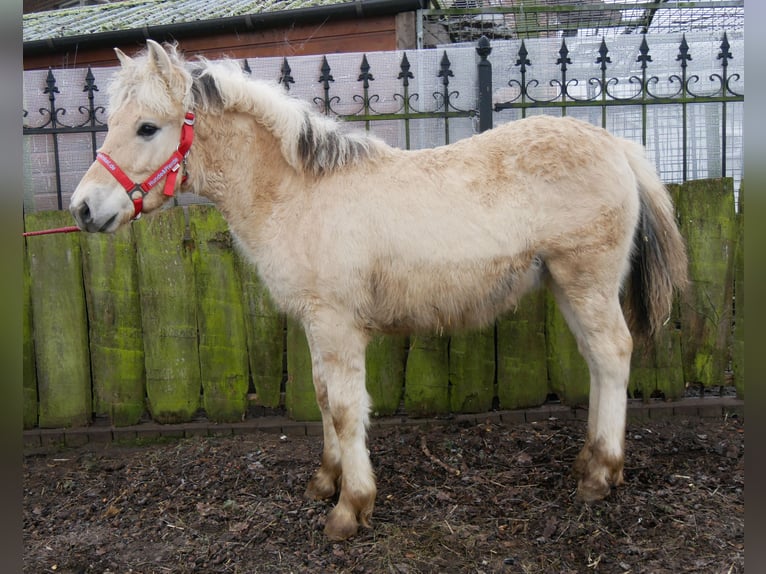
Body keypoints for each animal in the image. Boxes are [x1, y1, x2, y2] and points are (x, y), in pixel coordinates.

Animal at [69, 41, 688, 544]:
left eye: (147, 127)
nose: (83, 209)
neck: (298, 192)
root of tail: (615, 144)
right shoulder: (316, 326)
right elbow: (322, 398)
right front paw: (326, 480)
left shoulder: (336, 326)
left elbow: (346, 409)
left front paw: (350, 508)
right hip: (567, 284)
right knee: (598, 361)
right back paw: (590, 461)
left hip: (587, 282)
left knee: (613, 354)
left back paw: (600, 475)